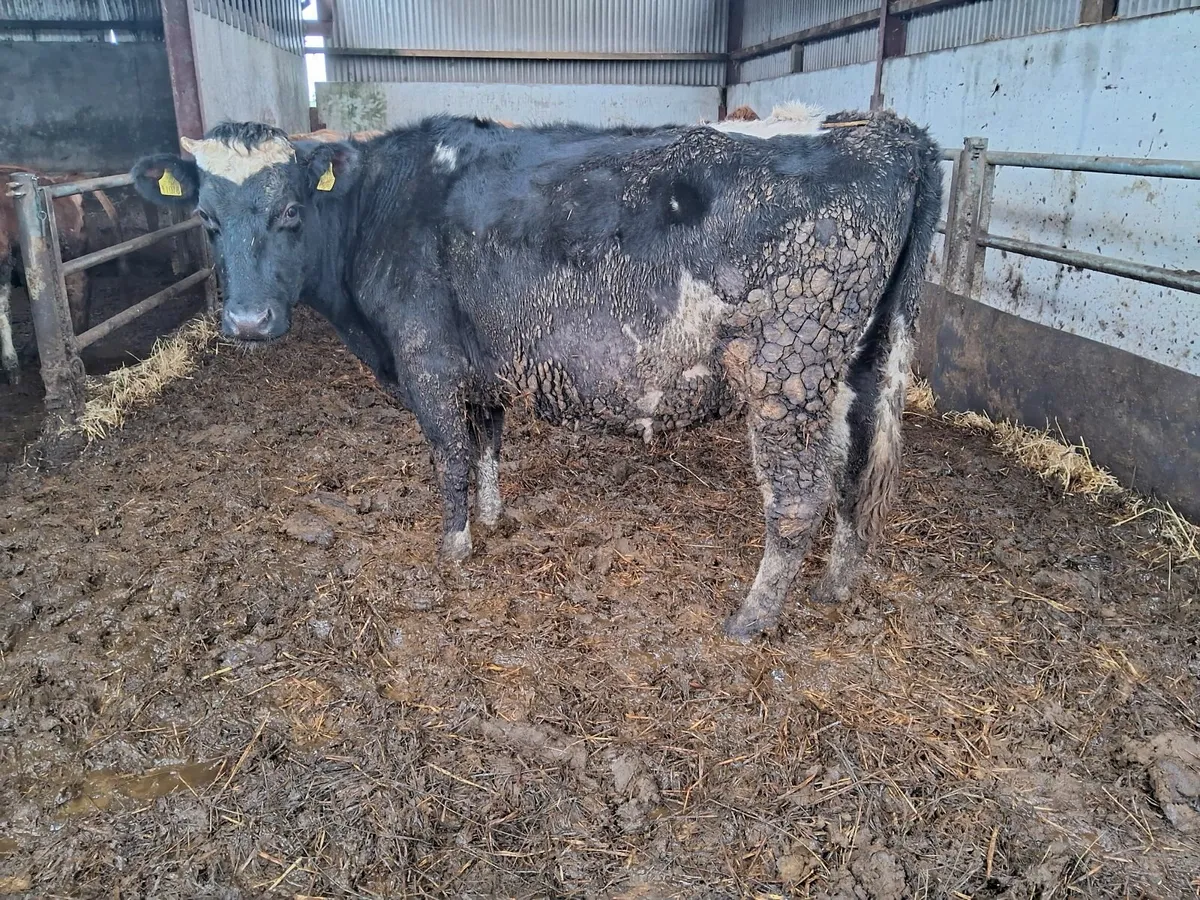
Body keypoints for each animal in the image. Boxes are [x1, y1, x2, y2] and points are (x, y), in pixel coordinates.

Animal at [129, 102, 941, 641]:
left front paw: (455, 546)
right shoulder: (481, 362)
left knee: (799, 498)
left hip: (788, 371)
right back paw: (836, 587)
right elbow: (490, 440)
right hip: (861, 366)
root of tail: (883, 130)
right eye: (206, 219)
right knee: (857, 476)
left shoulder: (428, 362)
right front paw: (494, 519)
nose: (247, 323)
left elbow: (452, 456)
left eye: (292, 211)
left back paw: (752, 617)